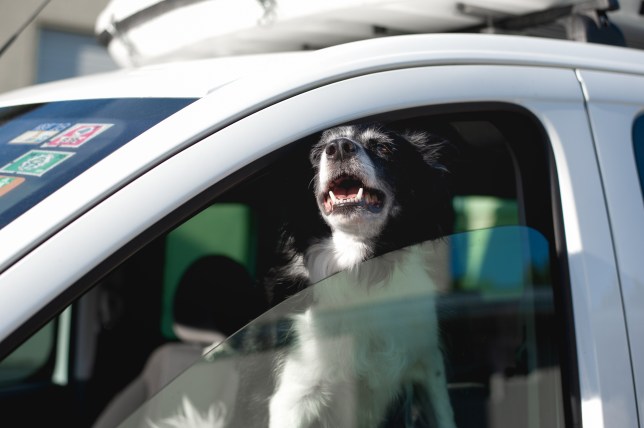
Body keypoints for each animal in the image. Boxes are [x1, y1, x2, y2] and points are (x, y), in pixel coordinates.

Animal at [266, 124, 458, 428]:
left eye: (383, 147)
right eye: (317, 153)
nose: (339, 148)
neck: (360, 266)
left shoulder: (428, 363)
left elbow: (444, 416)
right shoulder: (292, 400)